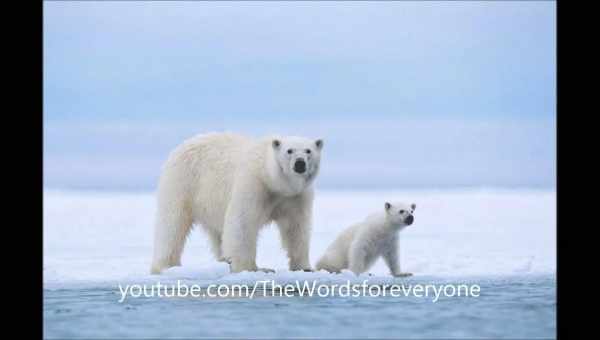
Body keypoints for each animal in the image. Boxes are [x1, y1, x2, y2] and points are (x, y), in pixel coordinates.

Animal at [150, 132, 324, 274]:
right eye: (289, 151)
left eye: (308, 151)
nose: (300, 164)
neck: (273, 181)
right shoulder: (254, 184)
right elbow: (242, 223)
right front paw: (251, 268)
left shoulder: (296, 197)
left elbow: (296, 227)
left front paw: (305, 267)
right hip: (183, 181)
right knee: (172, 224)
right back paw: (165, 266)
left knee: (217, 233)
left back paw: (223, 260)